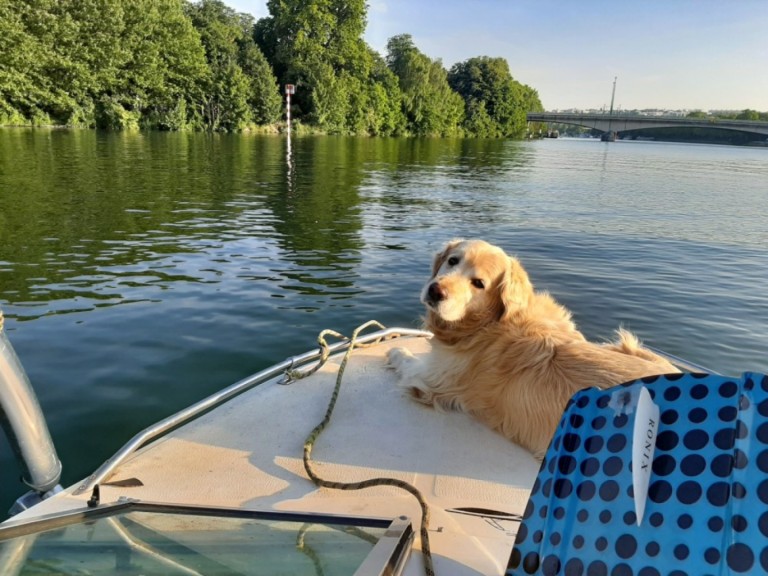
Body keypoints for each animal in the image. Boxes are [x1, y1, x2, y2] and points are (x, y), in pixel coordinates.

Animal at [390, 238, 680, 460]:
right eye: (453, 261)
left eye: (479, 284)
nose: (435, 291)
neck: (490, 322)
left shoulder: (433, 379)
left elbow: (409, 362)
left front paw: (396, 352)